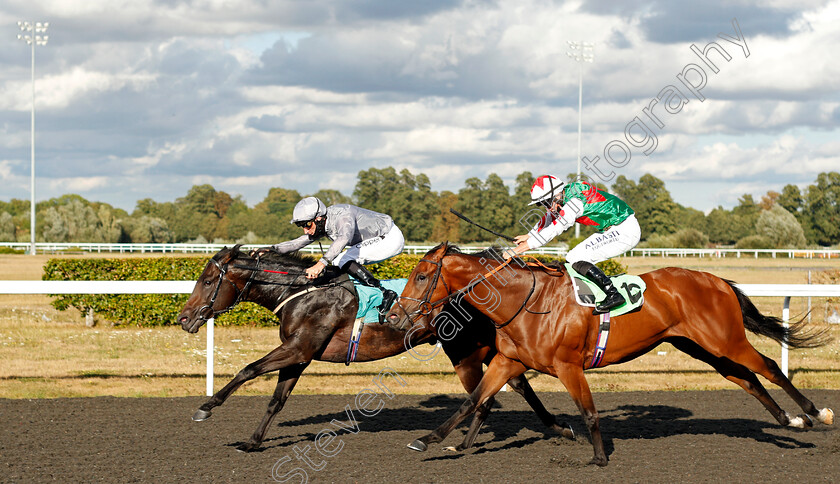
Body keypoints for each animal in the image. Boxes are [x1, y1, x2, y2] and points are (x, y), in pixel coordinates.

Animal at [175, 248, 576, 452]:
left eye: (207, 280)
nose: (184, 318)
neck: (303, 292)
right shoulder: (299, 355)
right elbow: (276, 399)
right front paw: (253, 441)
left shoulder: (298, 349)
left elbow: (248, 369)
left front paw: (205, 408)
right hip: (483, 348)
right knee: (515, 385)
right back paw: (555, 428)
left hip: (464, 352)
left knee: (488, 394)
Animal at [388, 244, 832, 466]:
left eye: (422, 276)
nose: (393, 315)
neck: (526, 301)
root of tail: (716, 279)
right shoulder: (507, 361)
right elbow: (472, 401)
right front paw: (428, 441)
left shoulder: (568, 366)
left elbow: (588, 411)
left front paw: (599, 457)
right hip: (701, 347)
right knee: (747, 378)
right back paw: (790, 421)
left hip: (725, 340)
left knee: (769, 367)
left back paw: (816, 413)